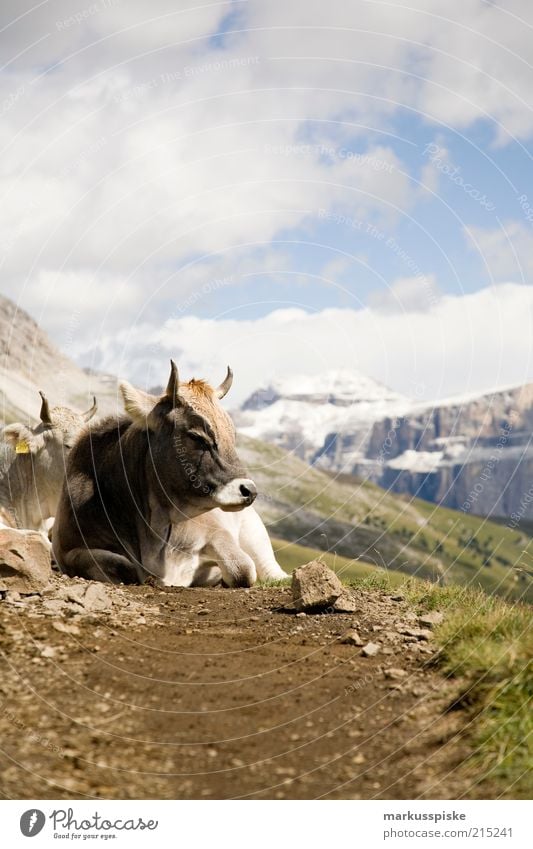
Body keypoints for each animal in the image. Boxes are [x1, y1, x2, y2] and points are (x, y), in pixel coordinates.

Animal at [52, 362, 288, 588]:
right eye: (197, 436)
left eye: (232, 435)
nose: (249, 490)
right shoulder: (69, 551)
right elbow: (120, 565)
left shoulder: (217, 531)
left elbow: (243, 569)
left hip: (254, 532)